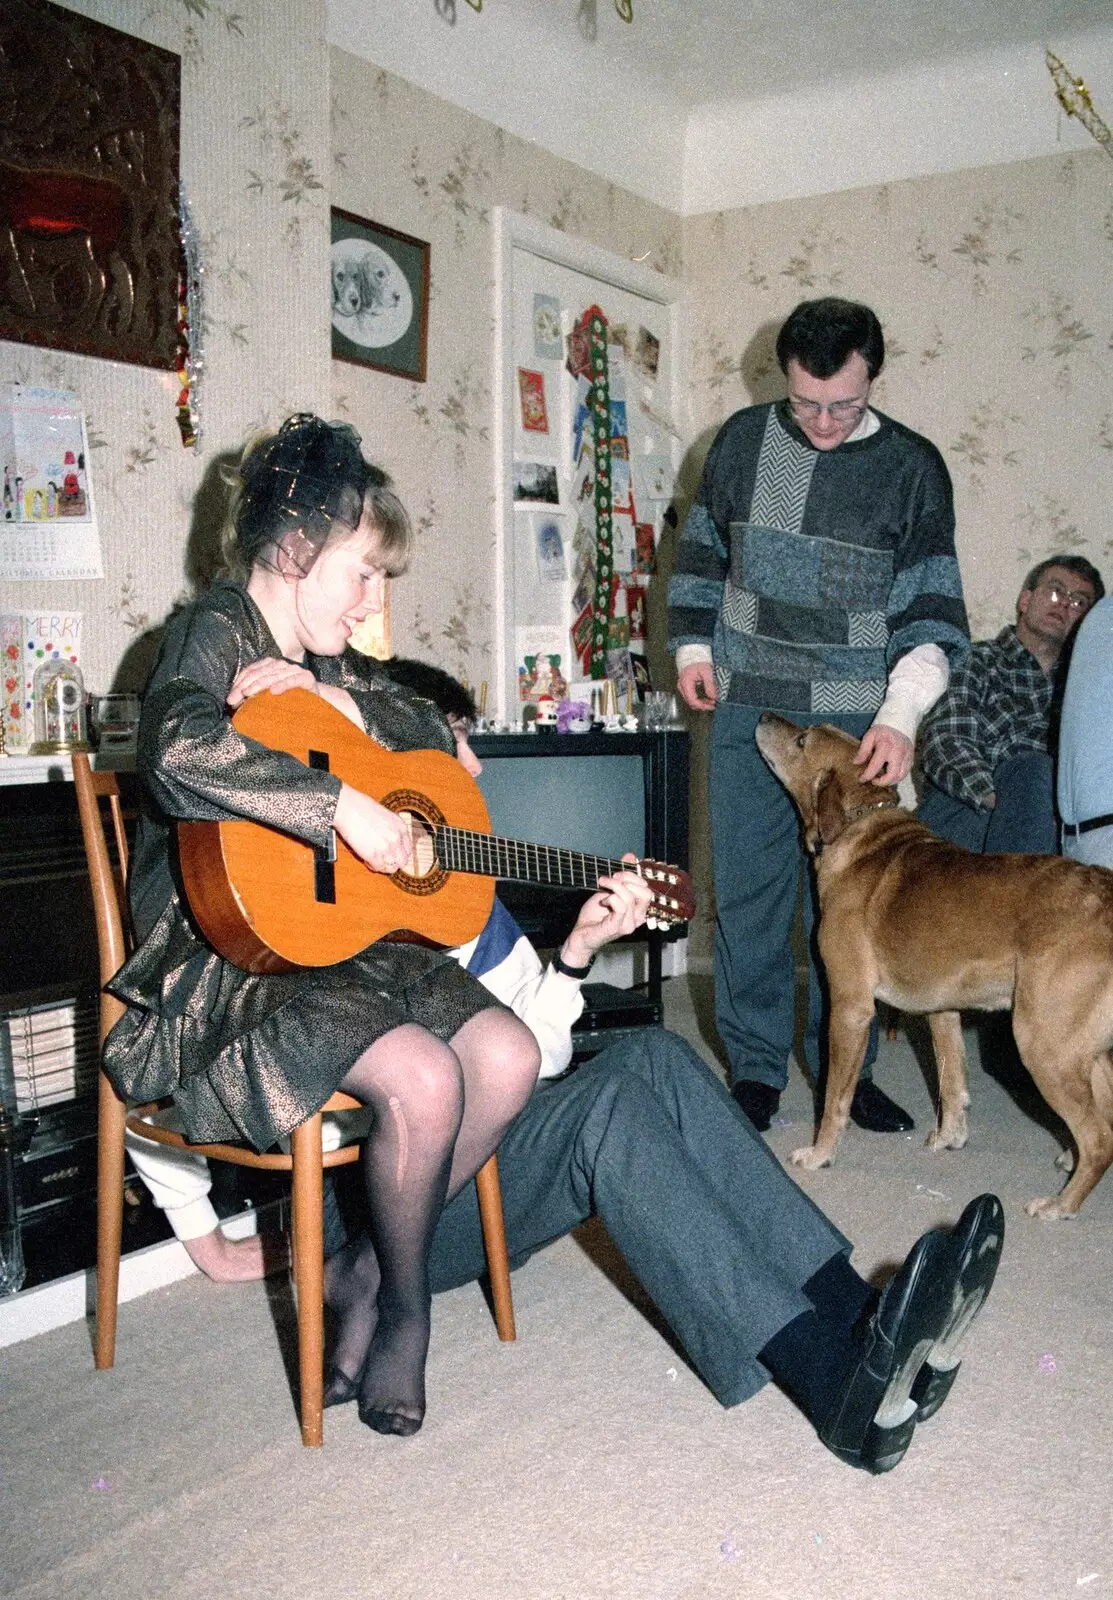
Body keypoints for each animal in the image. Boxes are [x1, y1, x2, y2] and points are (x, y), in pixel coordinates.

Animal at [757, 720, 1113, 1216]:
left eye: (802, 740)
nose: (764, 717)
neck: (861, 833)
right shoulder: (942, 1011)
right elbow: (952, 1083)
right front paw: (950, 1139)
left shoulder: (850, 1008)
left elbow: (834, 1098)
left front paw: (820, 1153)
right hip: (1086, 1051)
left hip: (1046, 1044)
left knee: (1099, 1137)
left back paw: (1061, 1204)